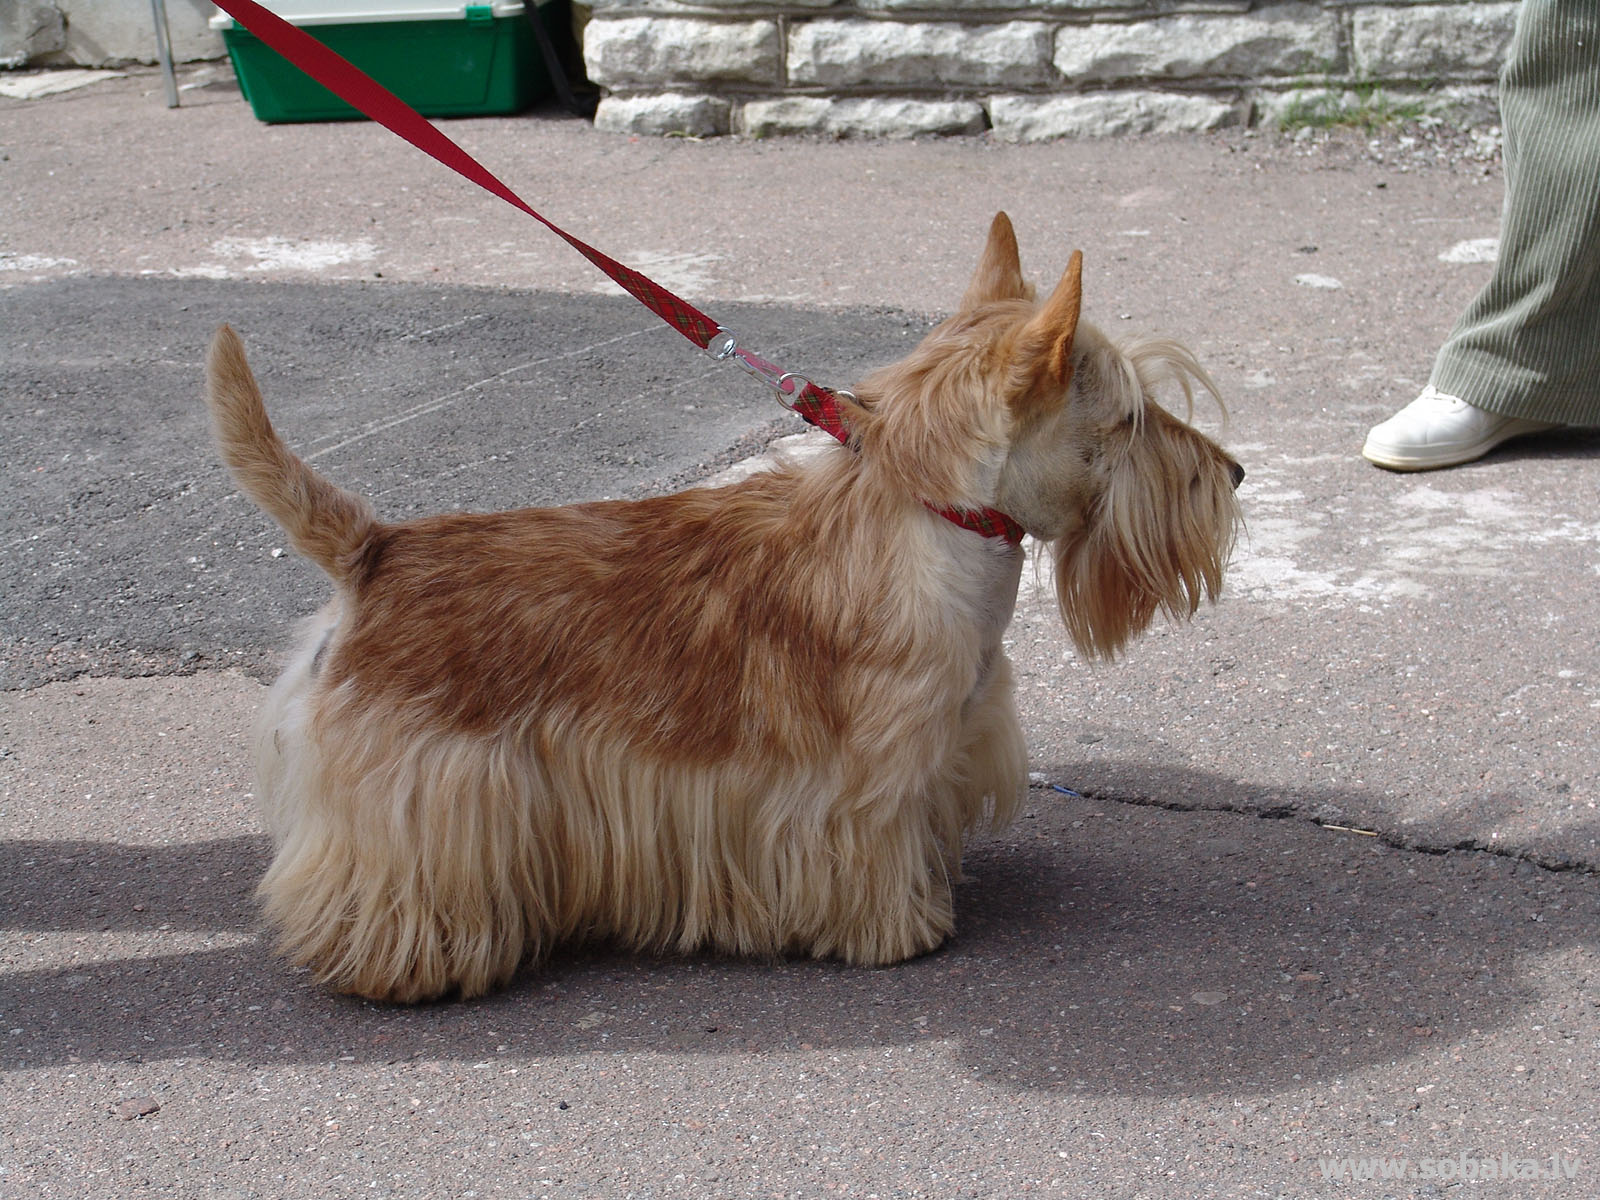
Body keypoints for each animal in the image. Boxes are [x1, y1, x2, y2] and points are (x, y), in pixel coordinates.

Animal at [203, 214, 1248, 1004]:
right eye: (1130, 418)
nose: (1236, 473)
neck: (927, 511)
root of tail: (375, 549)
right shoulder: (866, 784)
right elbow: (871, 858)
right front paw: (901, 928)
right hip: (421, 793)